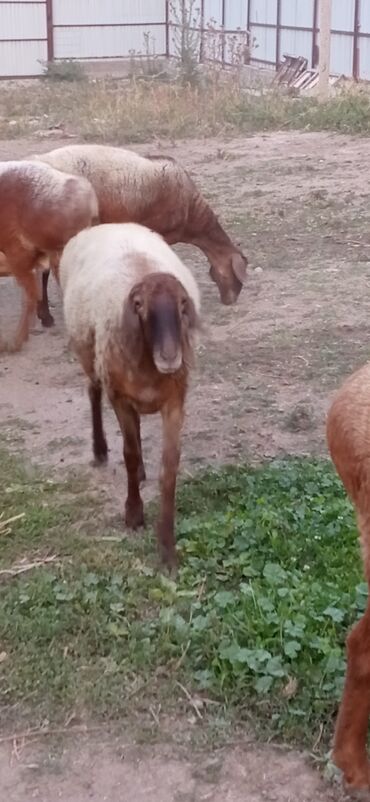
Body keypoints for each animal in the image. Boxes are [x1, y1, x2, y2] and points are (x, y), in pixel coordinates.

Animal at [59, 222, 201, 564]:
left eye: (182, 304)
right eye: (139, 306)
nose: (170, 357)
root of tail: (108, 224)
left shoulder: (175, 403)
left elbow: (168, 469)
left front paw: (167, 548)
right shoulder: (119, 398)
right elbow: (131, 454)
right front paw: (134, 514)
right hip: (91, 358)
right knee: (93, 392)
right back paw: (99, 450)